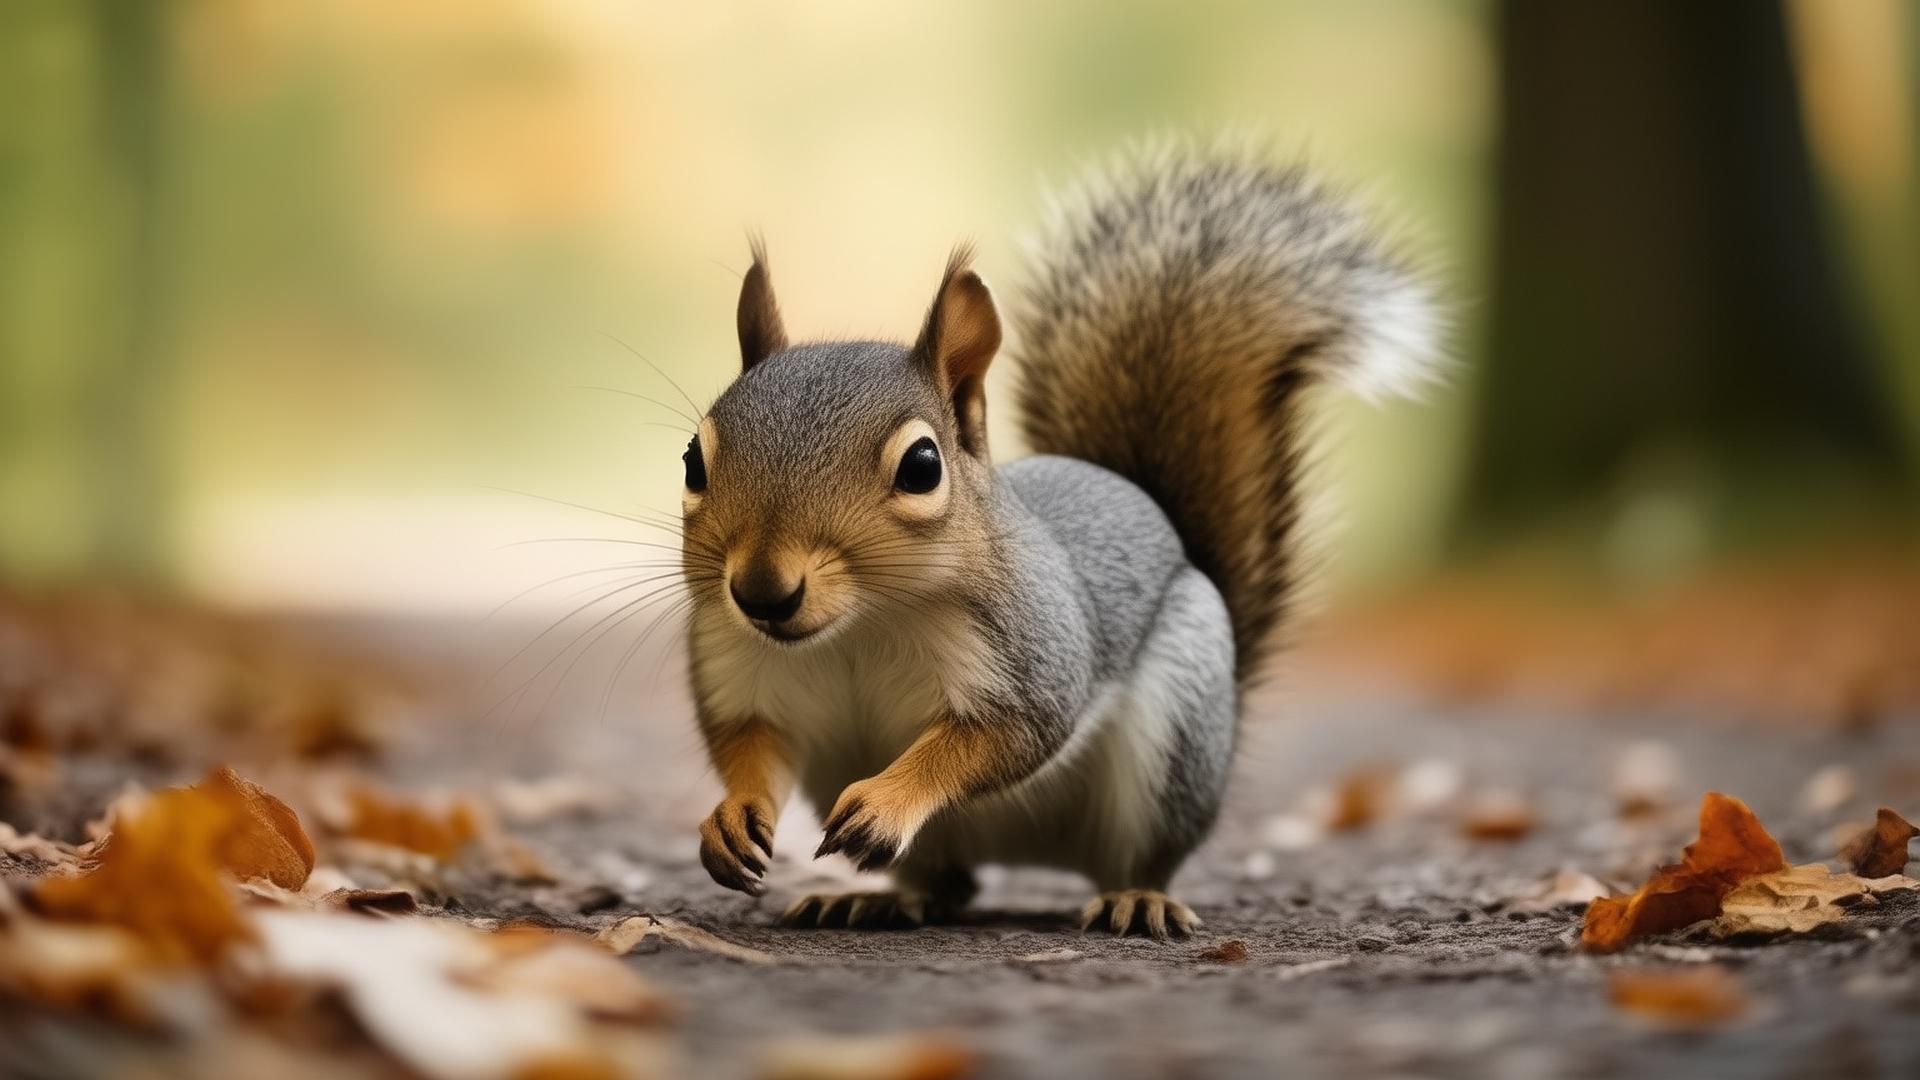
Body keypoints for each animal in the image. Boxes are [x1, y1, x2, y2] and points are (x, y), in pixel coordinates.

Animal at [680, 143, 1439, 938]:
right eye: (693, 462)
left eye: (922, 467)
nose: (762, 593)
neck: (863, 621)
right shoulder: (736, 662)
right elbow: (748, 740)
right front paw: (731, 817)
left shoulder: (1031, 648)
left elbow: (1005, 734)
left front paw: (889, 799)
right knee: (948, 882)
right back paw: (876, 897)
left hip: (1178, 731)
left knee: (1137, 856)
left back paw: (1137, 899)